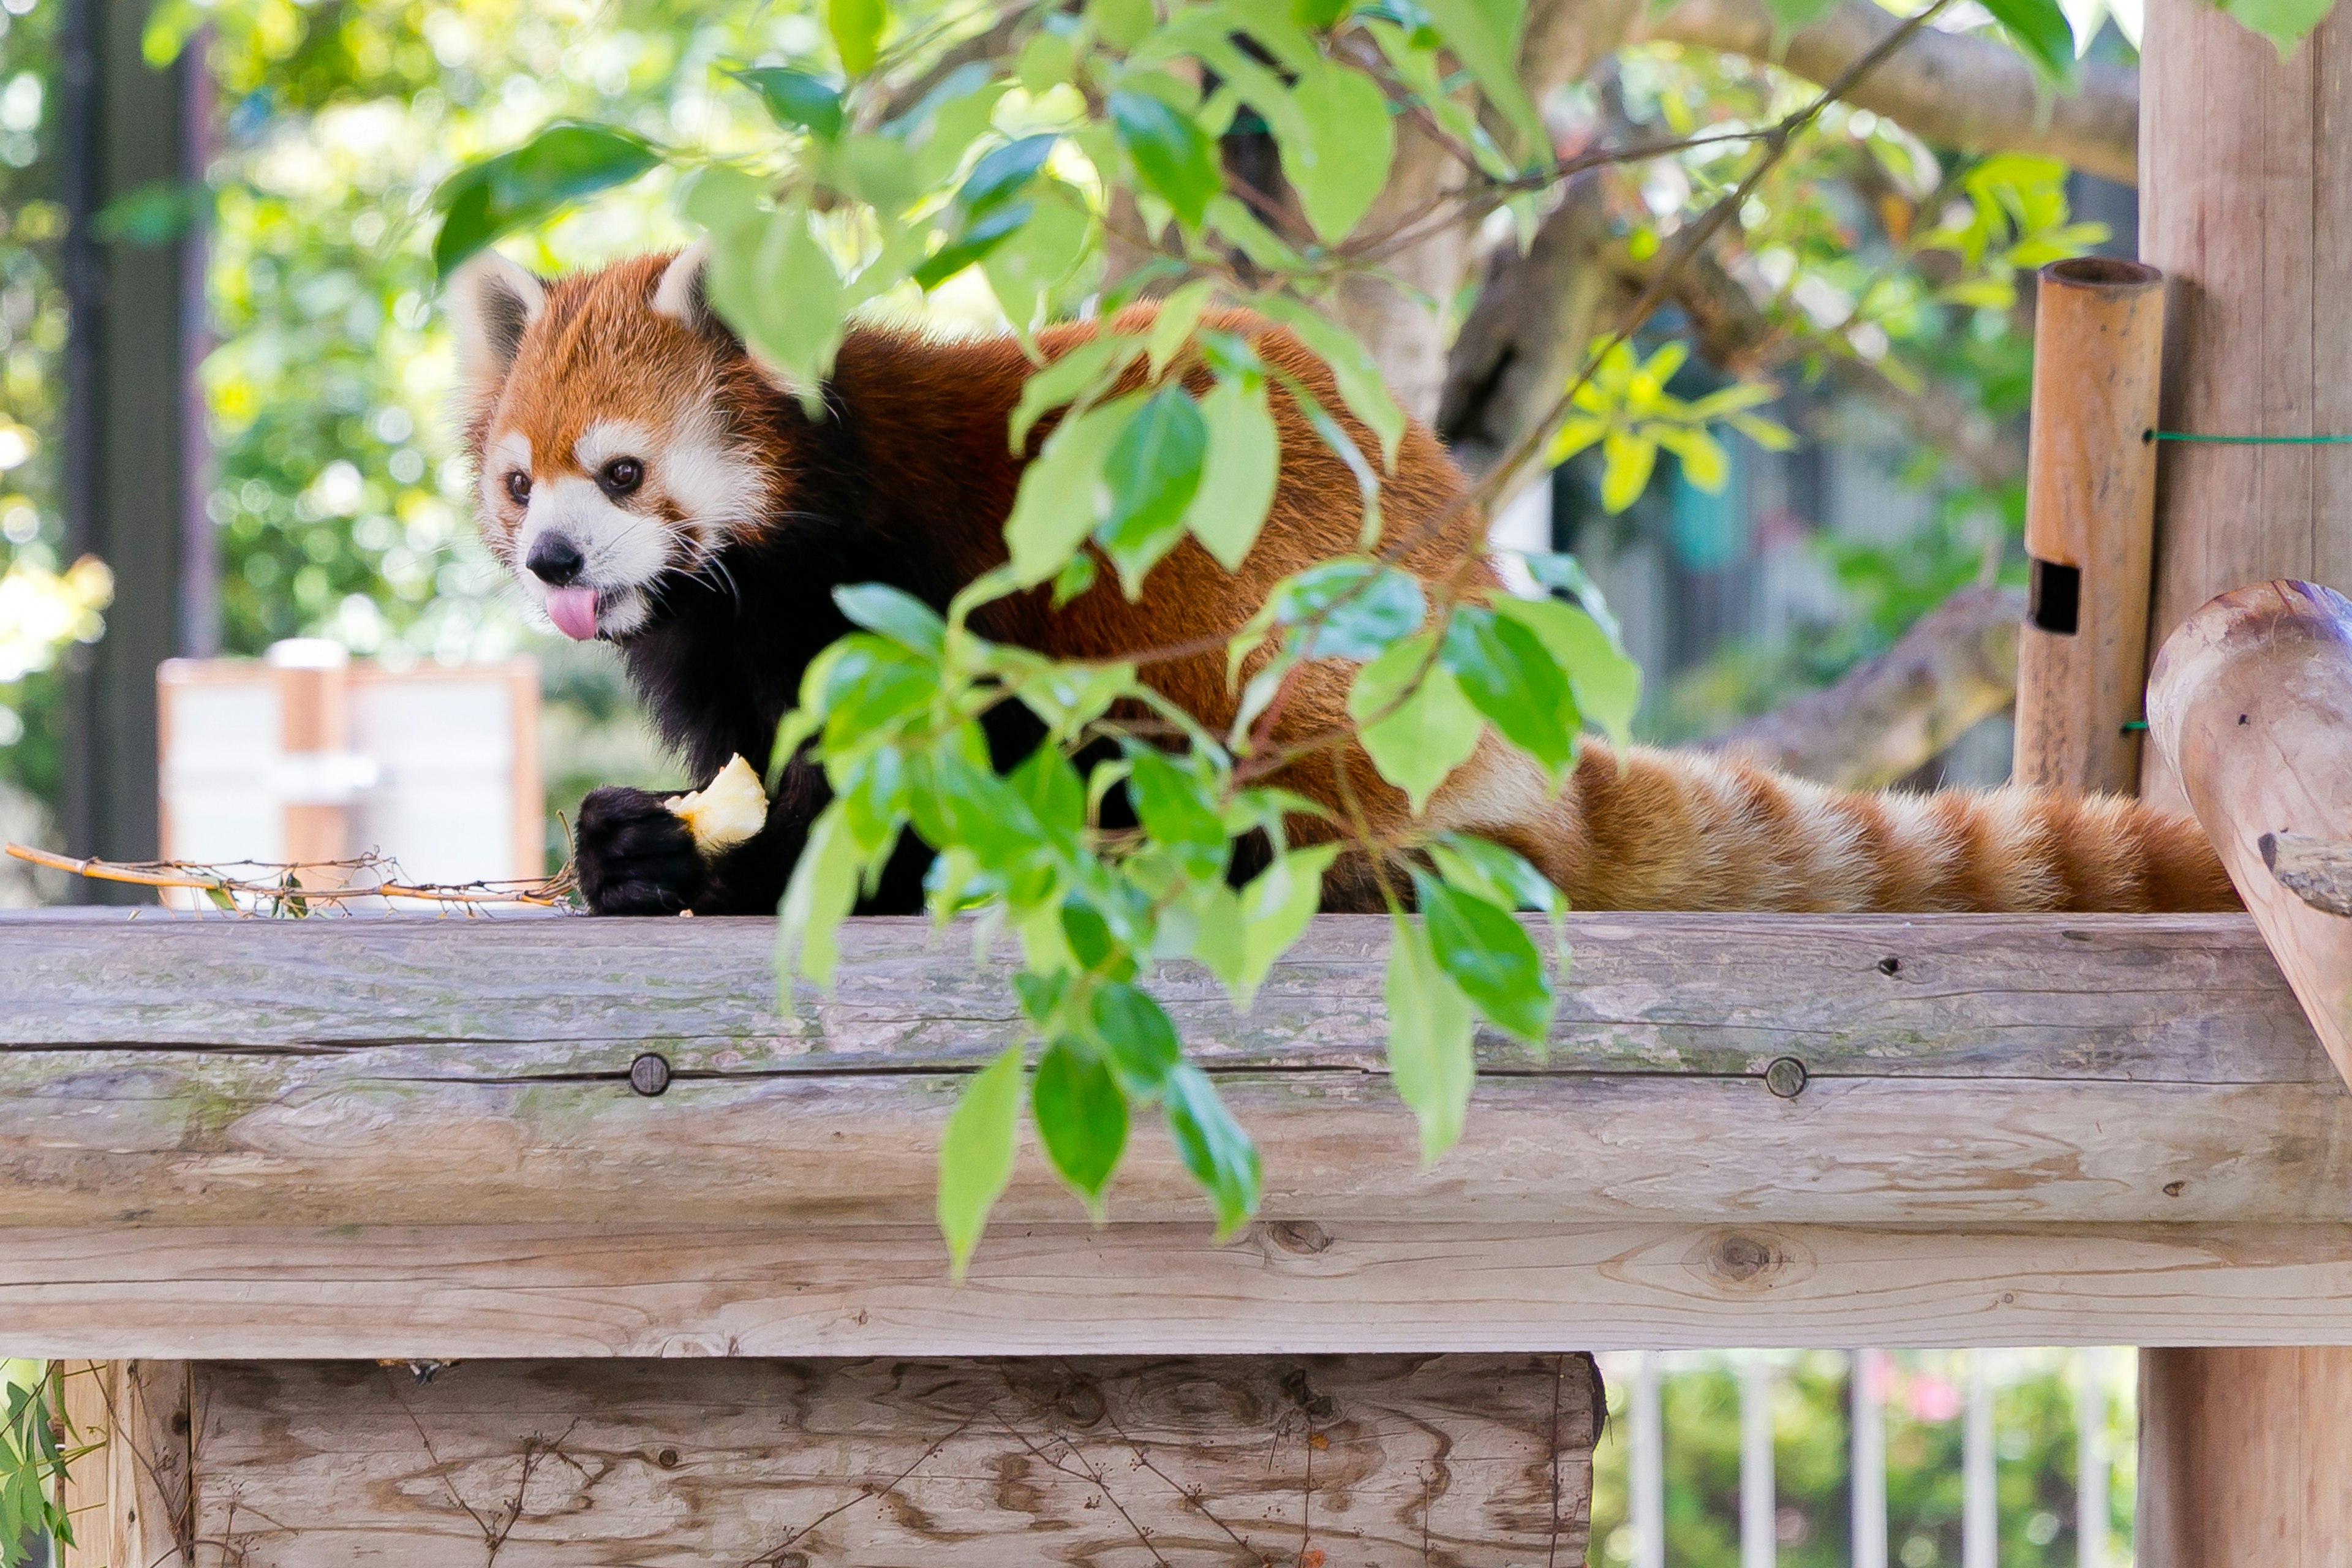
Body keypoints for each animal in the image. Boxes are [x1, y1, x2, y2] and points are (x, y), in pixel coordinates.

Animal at [449, 247, 2230, 921]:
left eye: (625, 474)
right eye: (522, 481)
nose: (553, 561)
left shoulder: (903, 580)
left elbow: (914, 795)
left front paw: (729, 869)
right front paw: (640, 840)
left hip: (1323, 656)